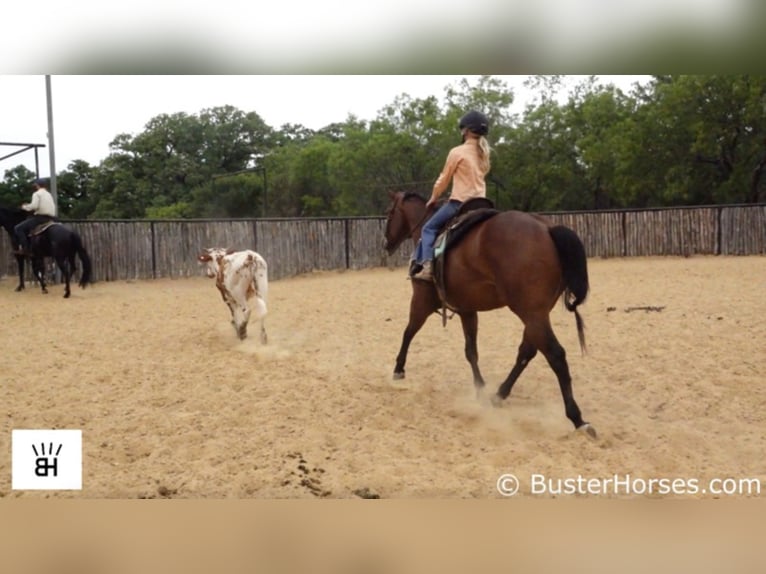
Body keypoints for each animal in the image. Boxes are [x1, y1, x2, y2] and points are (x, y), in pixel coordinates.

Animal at [388, 191, 596, 438]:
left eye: (390, 212)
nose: (386, 243)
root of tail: (547, 229)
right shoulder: (468, 310)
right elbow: (471, 351)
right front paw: (480, 389)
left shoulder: (421, 301)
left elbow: (408, 332)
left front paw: (398, 368)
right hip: (536, 314)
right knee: (527, 351)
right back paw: (499, 394)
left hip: (531, 313)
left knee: (555, 355)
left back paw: (578, 418)